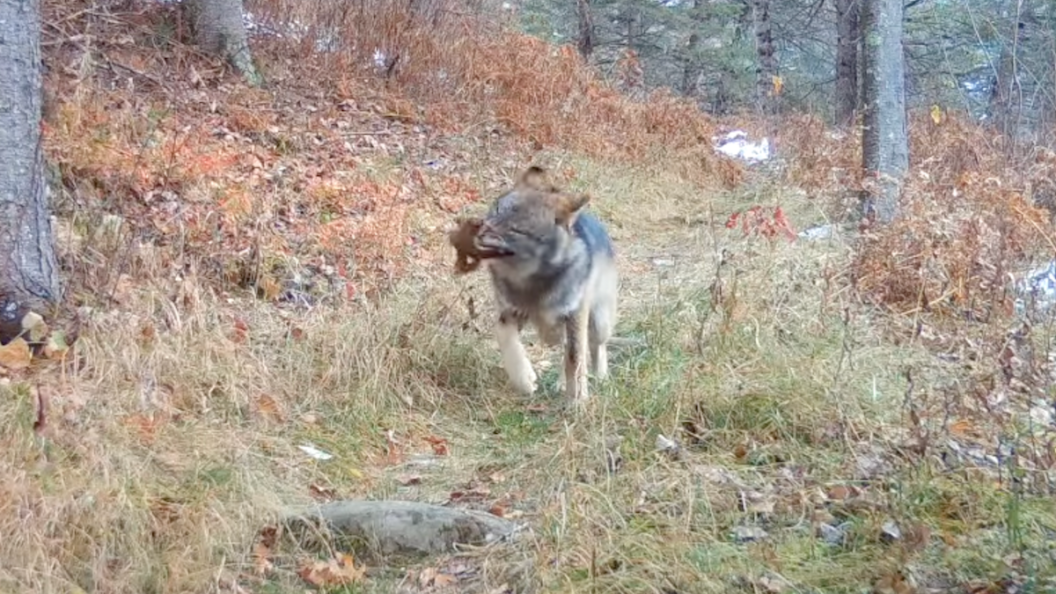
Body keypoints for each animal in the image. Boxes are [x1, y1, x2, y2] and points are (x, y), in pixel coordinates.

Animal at [472, 166, 619, 405]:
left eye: (516, 230)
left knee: (596, 348)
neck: (532, 279)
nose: (478, 232)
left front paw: (578, 400)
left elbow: (576, 359)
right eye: (497, 209)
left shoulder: (576, 316)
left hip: (599, 323)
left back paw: (601, 378)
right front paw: (524, 379)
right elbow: (504, 336)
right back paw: (561, 384)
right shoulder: (510, 311)